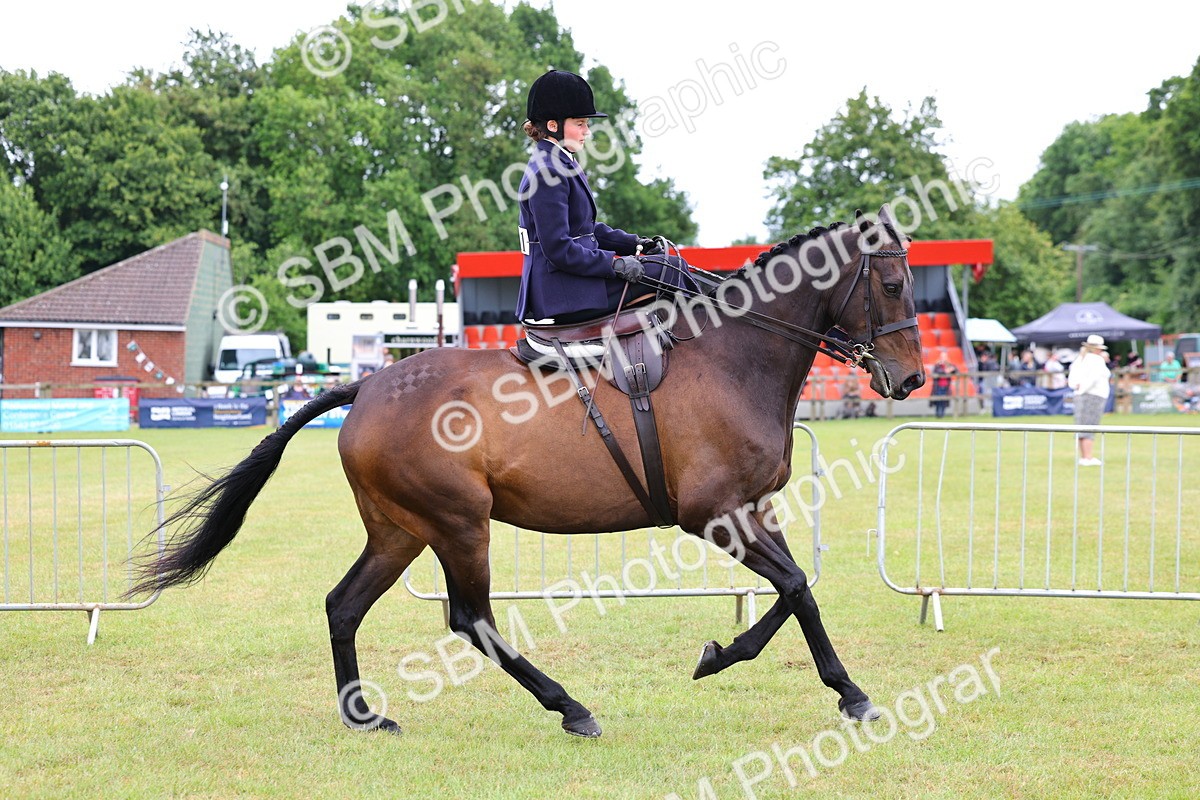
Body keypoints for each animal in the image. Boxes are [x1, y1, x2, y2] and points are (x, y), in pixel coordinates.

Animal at [133, 205, 924, 738]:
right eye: (891, 284)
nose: (913, 379)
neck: (733, 356)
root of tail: (368, 385)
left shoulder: (752, 509)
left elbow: (798, 589)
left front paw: (732, 657)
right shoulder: (713, 514)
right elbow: (795, 587)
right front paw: (843, 693)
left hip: (399, 531)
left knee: (343, 605)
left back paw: (363, 716)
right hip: (458, 524)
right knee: (470, 618)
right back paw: (570, 707)